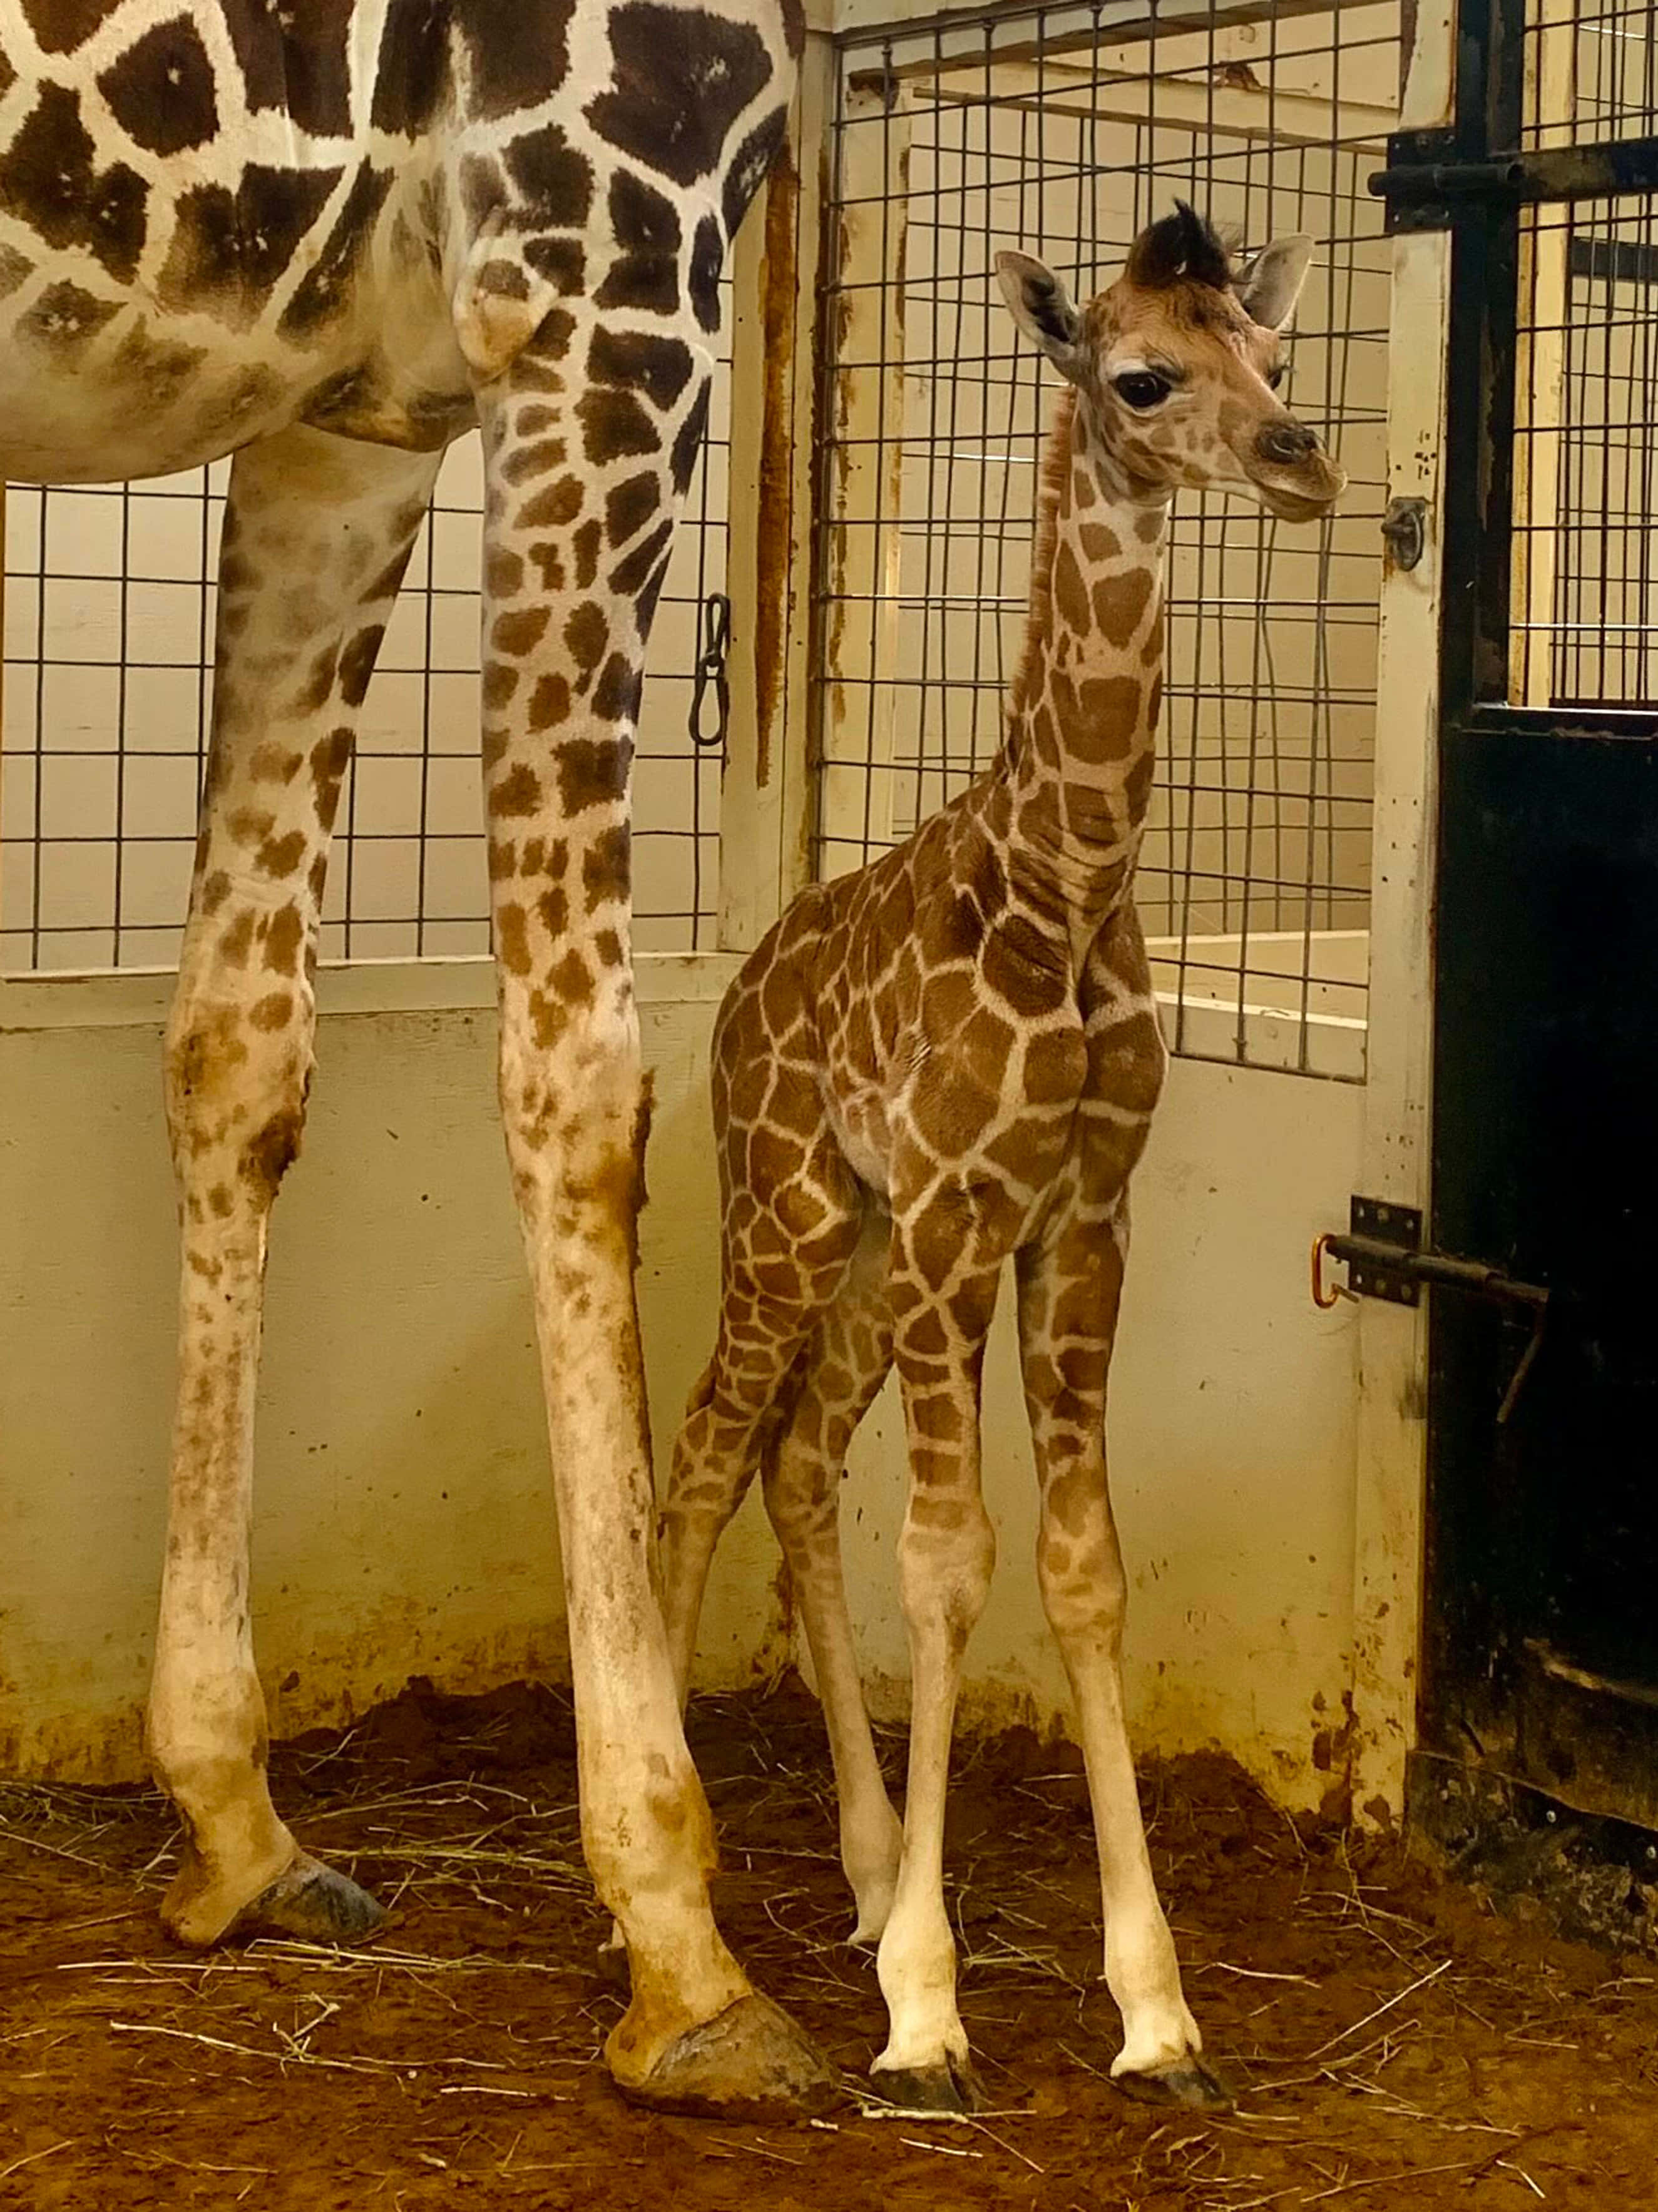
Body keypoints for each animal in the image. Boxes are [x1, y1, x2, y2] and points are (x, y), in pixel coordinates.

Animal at [0, 0, 835, 2119]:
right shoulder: (607, 246)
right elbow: (581, 1066)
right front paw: (679, 1930)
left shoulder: (347, 410)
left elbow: (238, 1039)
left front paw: (233, 1814)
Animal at [653, 204, 1345, 2113]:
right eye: (1142, 376)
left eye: (1276, 353)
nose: (1300, 456)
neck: (1065, 884)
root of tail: (736, 991)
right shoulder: (970, 1212)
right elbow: (949, 1564)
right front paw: (925, 2005)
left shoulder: (1073, 1218)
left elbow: (1080, 1572)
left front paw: (1153, 2006)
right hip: (786, 1218)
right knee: (697, 1463)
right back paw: (661, 1853)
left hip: (868, 1251)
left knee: (794, 1465)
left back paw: (861, 1859)